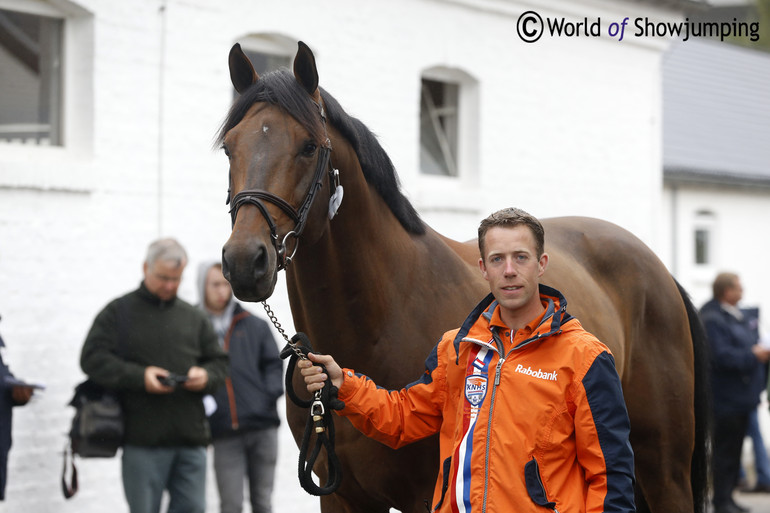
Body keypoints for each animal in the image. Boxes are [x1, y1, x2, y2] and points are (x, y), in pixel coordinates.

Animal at [218, 41, 708, 512]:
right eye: (229, 147)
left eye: (307, 146)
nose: (245, 260)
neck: (380, 318)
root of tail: (659, 271)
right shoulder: (340, 496)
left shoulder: (424, 494)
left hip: (664, 470)